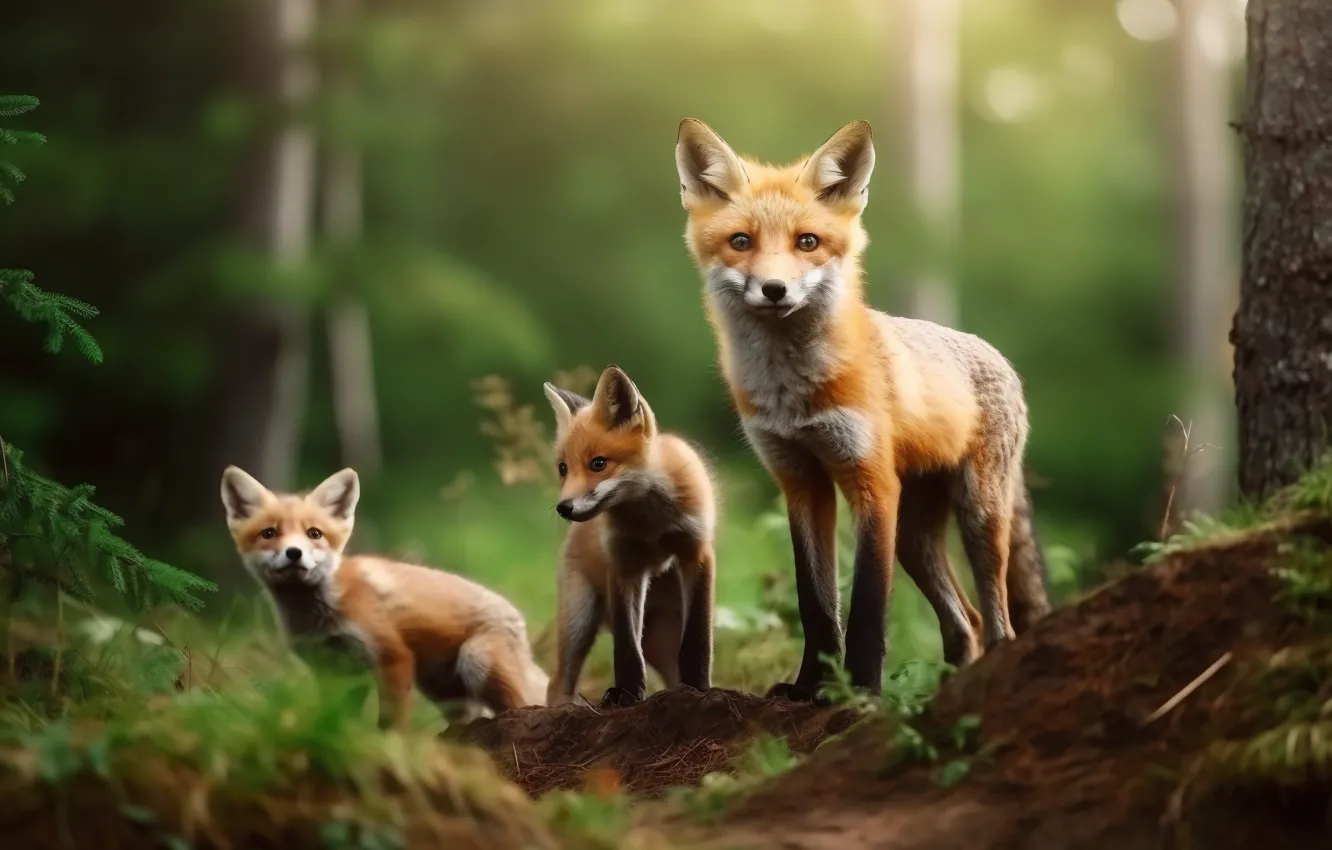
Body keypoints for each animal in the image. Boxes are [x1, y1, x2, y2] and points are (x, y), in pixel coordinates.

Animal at [220, 465, 548, 728]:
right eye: (269, 533)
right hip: (443, 690)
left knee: (525, 705)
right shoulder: (333, 670)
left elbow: (392, 721)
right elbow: (340, 716)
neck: (321, 612)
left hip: (476, 660)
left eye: (314, 533)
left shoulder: (392, 656)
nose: (294, 553)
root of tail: (518, 619)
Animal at [543, 364, 717, 708]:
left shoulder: (697, 552)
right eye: (563, 468)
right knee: (558, 683)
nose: (563, 508)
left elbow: (698, 637)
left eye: (598, 464)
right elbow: (625, 646)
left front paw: (698, 688)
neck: (651, 523)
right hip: (578, 622)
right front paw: (626, 694)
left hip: (662, 634)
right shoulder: (625, 566)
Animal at [673, 118, 1052, 701]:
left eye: (807, 242)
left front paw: (863, 690)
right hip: (916, 540)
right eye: (741, 242)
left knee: (997, 620)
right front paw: (812, 687)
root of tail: (997, 355)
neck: (794, 394)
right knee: (964, 622)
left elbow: (868, 607)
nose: (774, 289)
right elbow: (816, 604)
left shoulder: (870, 481)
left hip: (976, 515)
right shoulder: (800, 481)